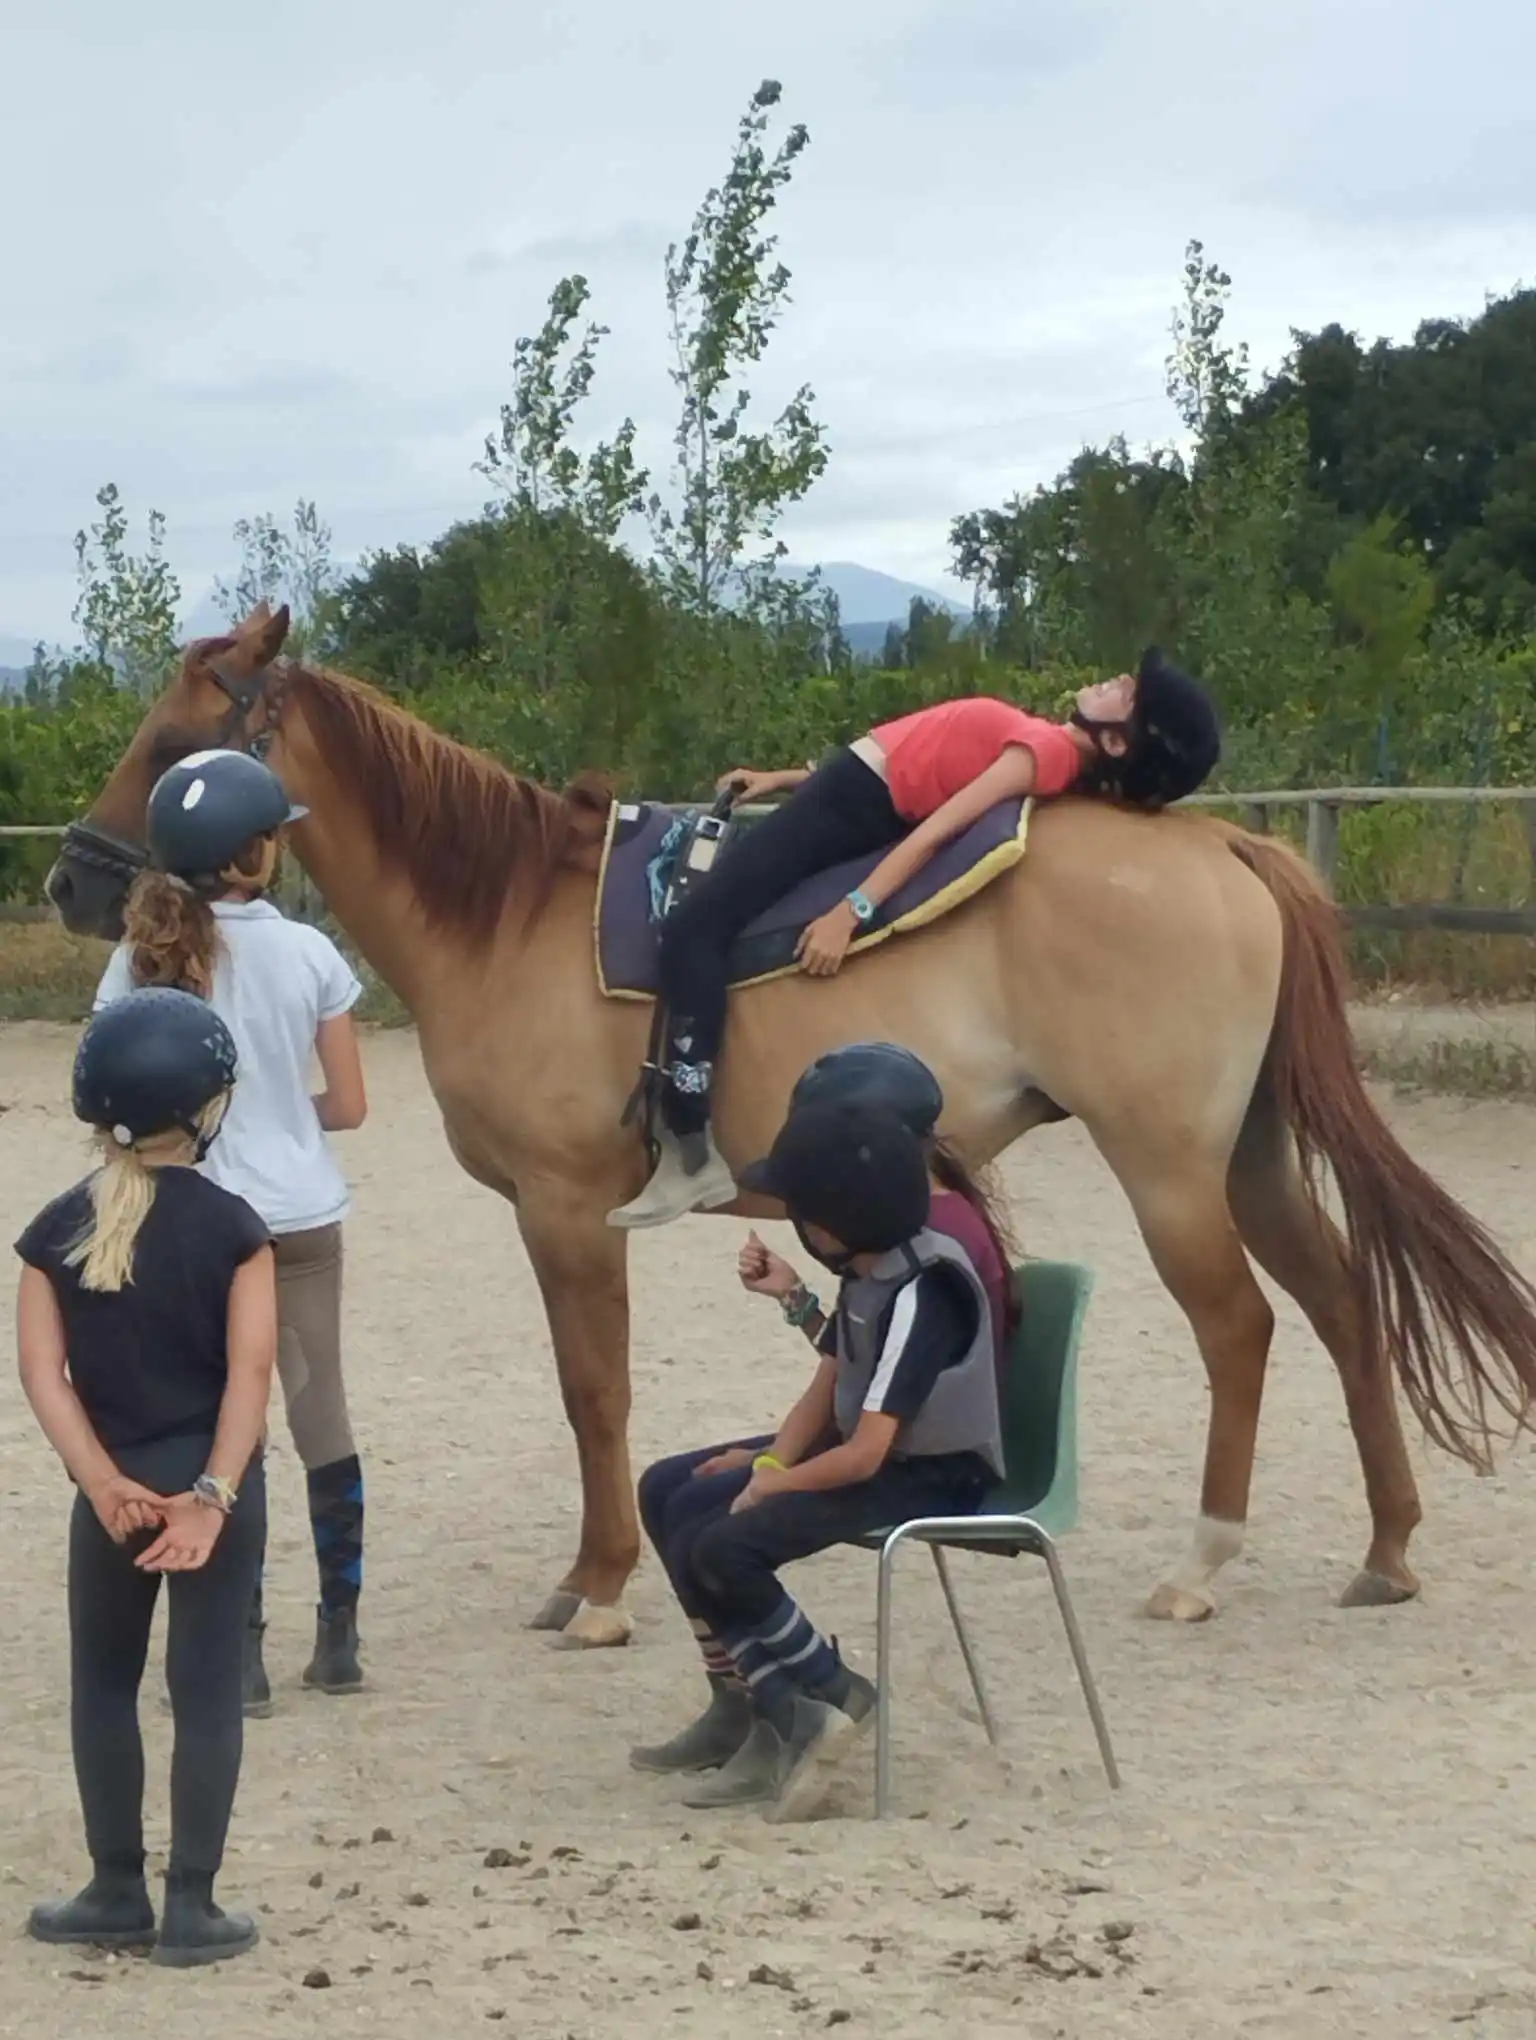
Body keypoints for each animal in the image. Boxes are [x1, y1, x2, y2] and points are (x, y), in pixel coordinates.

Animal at [44, 599, 1533, 1640]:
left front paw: (598, 1590)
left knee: (1242, 1327)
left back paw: (1202, 1563)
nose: (71, 881)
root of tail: (1224, 843)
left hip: (1168, 1164)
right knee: (1344, 1305)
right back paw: (1387, 1550)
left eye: (173, 746)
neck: (509, 914)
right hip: (1250, 1154)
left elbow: (594, 1393)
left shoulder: (567, 1212)